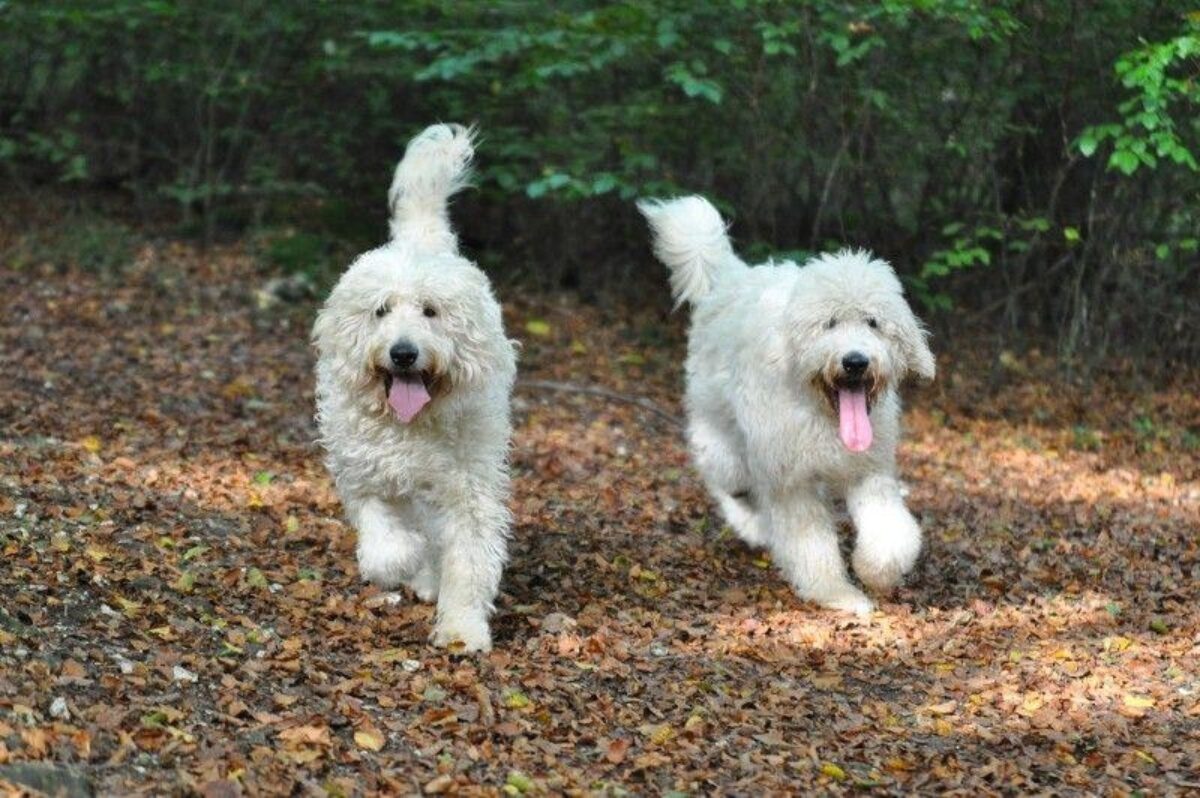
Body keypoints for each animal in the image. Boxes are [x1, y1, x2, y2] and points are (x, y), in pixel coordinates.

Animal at [312, 123, 513, 648]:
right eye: (381, 310)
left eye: (430, 311)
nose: (403, 353)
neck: (411, 425)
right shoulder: (366, 476)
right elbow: (388, 546)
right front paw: (408, 561)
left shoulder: (468, 490)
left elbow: (468, 560)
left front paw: (462, 631)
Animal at [643, 194, 931, 614]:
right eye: (829, 323)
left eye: (873, 322)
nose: (855, 361)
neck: (823, 417)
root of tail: (733, 276)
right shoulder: (793, 481)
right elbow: (811, 545)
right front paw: (836, 593)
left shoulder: (869, 471)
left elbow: (890, 531)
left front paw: (876, 571)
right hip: (721, 429)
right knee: (729, 479)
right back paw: (751, 523)